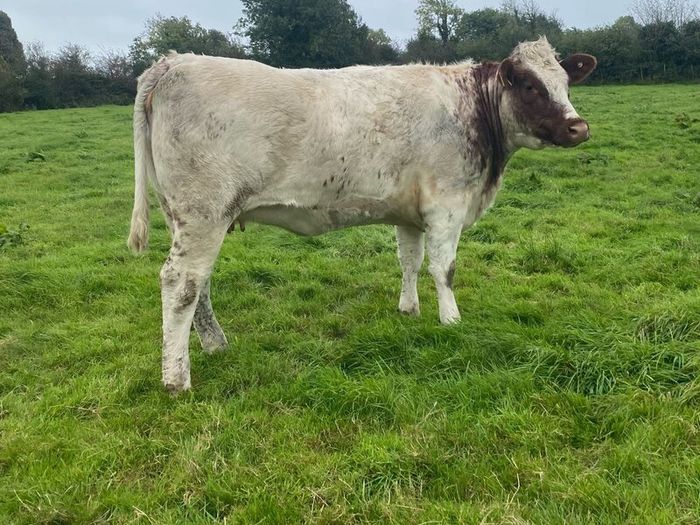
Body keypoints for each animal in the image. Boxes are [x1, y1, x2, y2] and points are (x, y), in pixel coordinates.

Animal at [127, 37, 596, 393]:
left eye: (565, 81)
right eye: (530, 86)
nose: (579, 128)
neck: (471, 111)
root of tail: (174, 61)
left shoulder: (411, 211)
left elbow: (410, 261)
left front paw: (409, 310)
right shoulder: (447, 205)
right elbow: (444, 268)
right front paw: (451, 321)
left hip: (187, 217)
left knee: (199, 284)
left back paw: (215, 345)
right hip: (204, 213)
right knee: (181, 284)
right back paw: (177, 379)